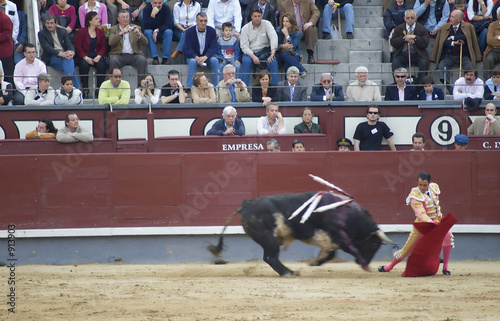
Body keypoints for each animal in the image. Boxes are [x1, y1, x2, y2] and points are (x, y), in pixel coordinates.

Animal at [207, 191, 394, 276]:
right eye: (373, 245)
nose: (367, 262)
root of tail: (247, 204)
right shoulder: (338, 235)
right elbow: (349, 248)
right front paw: (364, 265)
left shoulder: (330, 239)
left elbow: (330, 254)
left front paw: (314, 263)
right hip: (268, 237)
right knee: (269, 257)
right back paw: (288, 273)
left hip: (274, 239)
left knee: (272, 257)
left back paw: (289, 271)